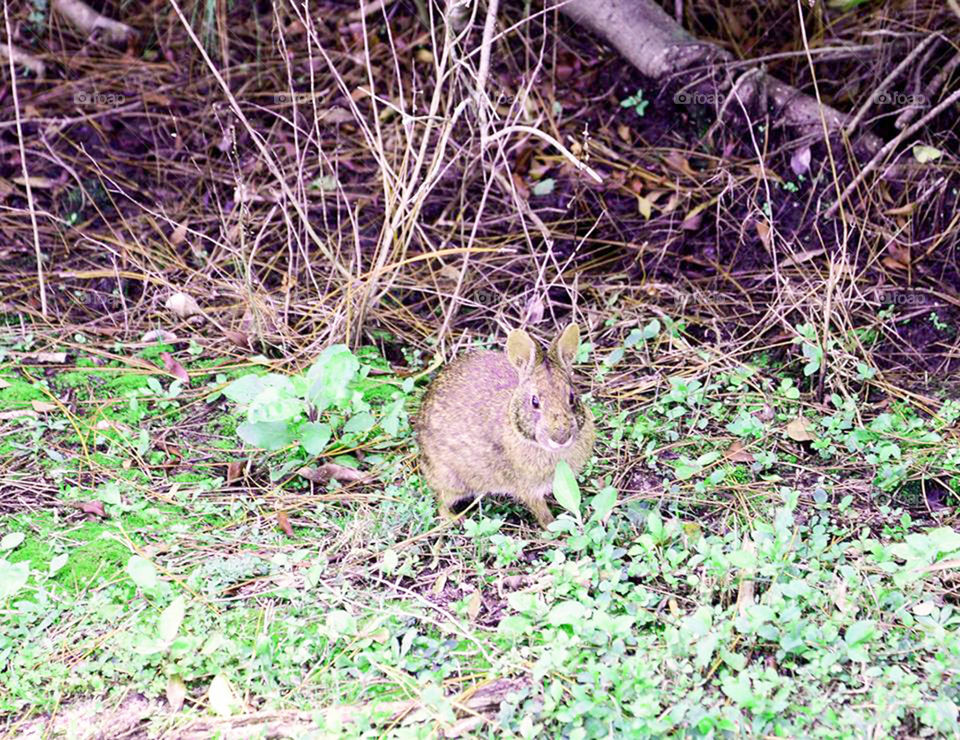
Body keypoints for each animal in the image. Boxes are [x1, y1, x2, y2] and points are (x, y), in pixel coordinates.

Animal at [418, 324, 592, 528]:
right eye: (534, 401)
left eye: (572, 397)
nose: (561, 438)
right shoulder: (527, 488)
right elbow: (541, 511)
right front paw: (553, 527)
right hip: (453, 480)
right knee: (441, 502)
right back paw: (456, 519)